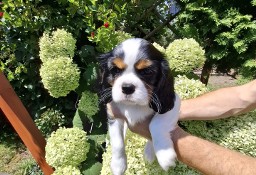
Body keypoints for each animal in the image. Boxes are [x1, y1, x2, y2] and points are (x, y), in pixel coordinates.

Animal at [98, 37, 180, 174]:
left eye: (146, 71)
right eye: (115, 70)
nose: (127, 87)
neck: (134, 105)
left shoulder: (173, 105)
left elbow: (156, 124)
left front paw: (164, 155)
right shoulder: (114, 115)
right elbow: (117, 141)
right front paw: (118, 164)